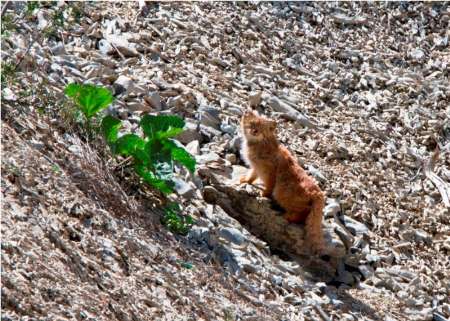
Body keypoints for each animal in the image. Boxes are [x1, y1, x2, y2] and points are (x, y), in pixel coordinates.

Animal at [241, 110, 326, 252]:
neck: (259, 145)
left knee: (301, 213)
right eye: (252, 124)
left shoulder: (270, 172)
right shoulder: (256, 168)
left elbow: (268, 187)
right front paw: (244, 181)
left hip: (280, 192)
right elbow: (251, 177)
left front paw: (263, 194)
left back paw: (288, 216)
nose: (254, 131)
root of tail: (318, 193)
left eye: (261, 128)